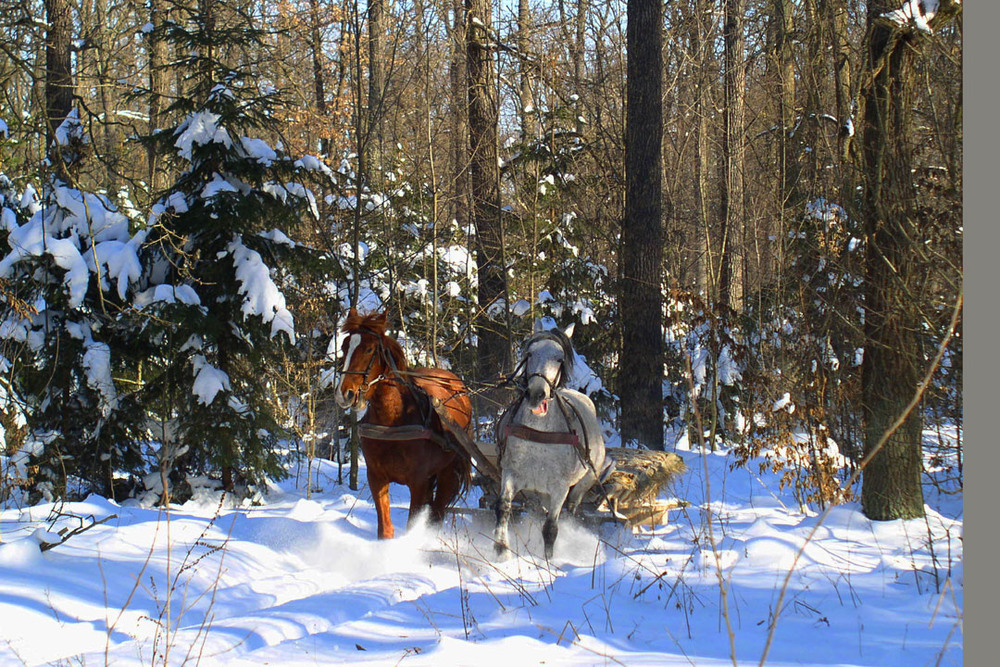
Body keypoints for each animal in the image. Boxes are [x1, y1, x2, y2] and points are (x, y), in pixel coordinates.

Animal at [336, 310, 472, 540]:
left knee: (437, 512)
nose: (344, 394)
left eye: (370, 349)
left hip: (447, 471)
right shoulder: (377, 477)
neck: (392, 422)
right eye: (345, 347)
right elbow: (385, 529)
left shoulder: (418, 482)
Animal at [494, 320, 608, 560]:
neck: (539, 434)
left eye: (559, 359)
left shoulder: (560, 487)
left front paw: (548, 561)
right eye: (529, 353)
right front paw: (501, 550)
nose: (536, 394)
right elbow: (503, 507)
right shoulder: (511, 473)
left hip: (583, 483)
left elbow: (550, 528)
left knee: (571, 509)